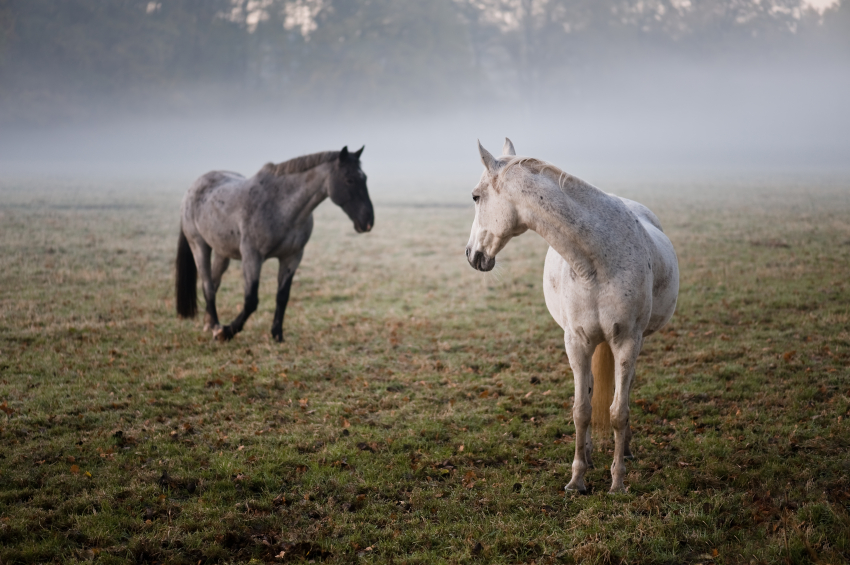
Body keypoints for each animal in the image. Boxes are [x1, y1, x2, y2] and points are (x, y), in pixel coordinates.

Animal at [175, 146, 373, 342]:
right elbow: (251, 301)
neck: (281, 206)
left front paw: (277, 333)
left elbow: (282, 296)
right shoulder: (252, 257)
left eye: (364, 178)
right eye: (349, 180)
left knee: (214, 283)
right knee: (207, 286)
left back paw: (209, 324)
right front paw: (227, 331)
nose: (368, 221)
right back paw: (216, 327)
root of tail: (193, 187)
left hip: (222, 252)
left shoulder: (292, 257)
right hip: (199, 246)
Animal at [465, 139, 679, 494]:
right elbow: (581, 410)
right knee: (590, 392)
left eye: (476, 196)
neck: (598, 261)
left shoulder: (627, 342)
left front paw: (617, 483)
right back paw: (590, 456)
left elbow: (618, 412)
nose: (471, 254)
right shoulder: (576, 342)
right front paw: (577, 480)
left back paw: (626, 450)